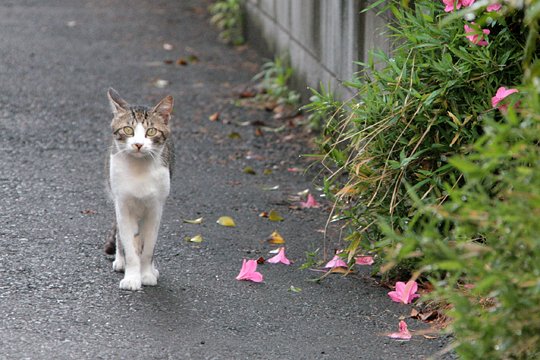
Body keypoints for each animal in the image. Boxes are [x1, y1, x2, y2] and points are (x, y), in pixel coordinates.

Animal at [104, 88, 174, 292]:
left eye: (151, 131)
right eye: (128, 130)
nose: (138, 144)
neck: (139, 169)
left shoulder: (156, 207)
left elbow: (149, 245)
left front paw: (147, 274)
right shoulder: (122, 203)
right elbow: (129, 243)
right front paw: (132, 277)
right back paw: (121, 261)